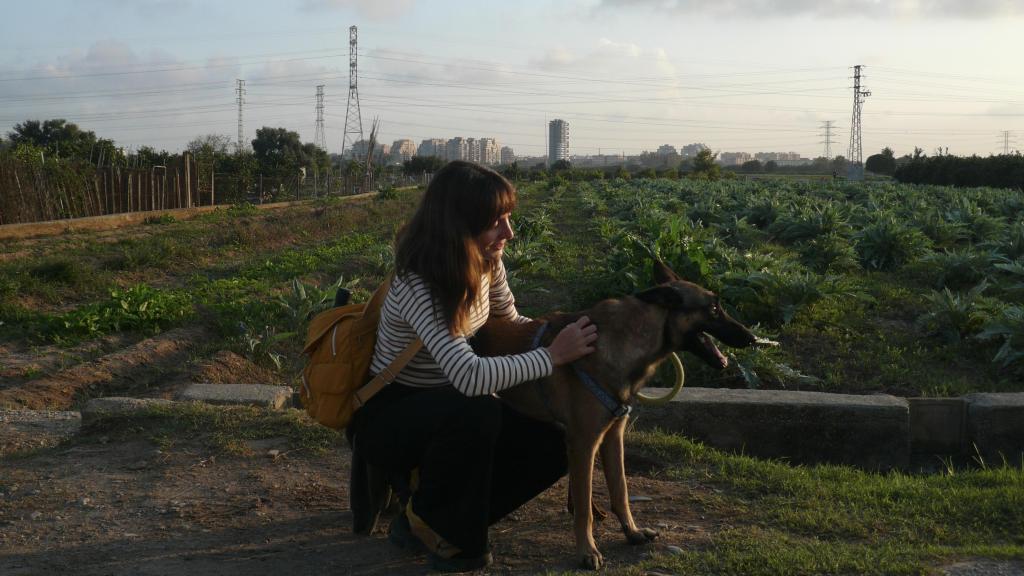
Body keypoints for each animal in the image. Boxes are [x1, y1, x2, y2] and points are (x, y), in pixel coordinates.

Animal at [468, 261, 753, 569]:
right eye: (713, 309)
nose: (752, 338)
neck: (627, 340)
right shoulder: (584, 442)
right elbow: (584, 508)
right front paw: (587, 551)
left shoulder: (613, 436)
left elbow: (621, 490)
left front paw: (632, 532)